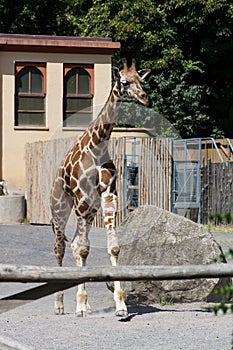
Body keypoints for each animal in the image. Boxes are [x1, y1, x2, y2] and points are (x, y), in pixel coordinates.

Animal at [50, 58, 150, 316]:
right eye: (124, 81)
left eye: (141, 80)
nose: (145, 98)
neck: (98, 144)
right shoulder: (82, 197)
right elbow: (83, 249)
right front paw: (80, 305)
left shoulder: (108, 195)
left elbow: (112, 247)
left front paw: (121, 305)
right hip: (61, 207)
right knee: (60, 247)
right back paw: (60, 305)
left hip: (89, 209)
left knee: (74, 243)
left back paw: (83, 302)